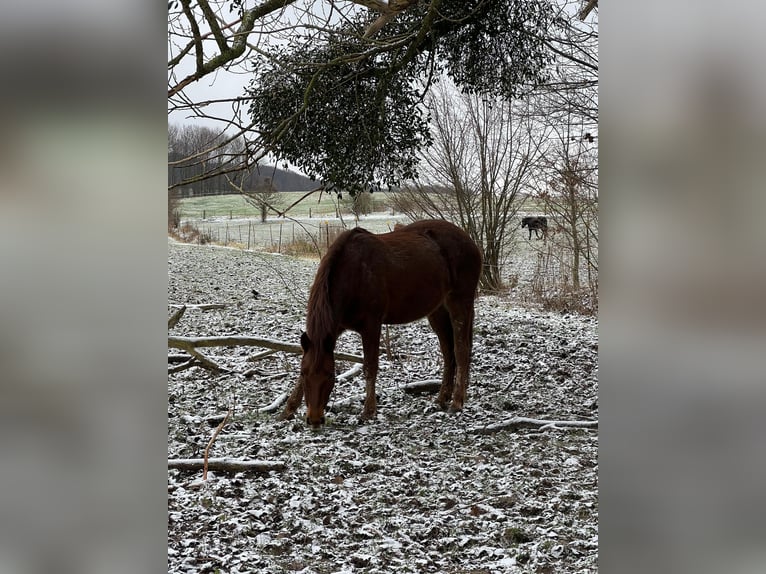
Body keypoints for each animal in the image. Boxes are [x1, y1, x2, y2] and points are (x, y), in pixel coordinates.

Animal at [284, 220, 484, 428]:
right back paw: (442, 398)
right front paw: (288, 409)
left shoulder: (371, 326)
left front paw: (369, 411)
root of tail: (469, 241)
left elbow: (370, 366)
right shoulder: (335, 327)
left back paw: (457, 401)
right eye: (304, 374)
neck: (354, 274)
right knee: (448, 353)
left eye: (331, 375)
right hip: (437, 310)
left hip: (459, 302)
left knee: (461, 351)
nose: (314, 419)